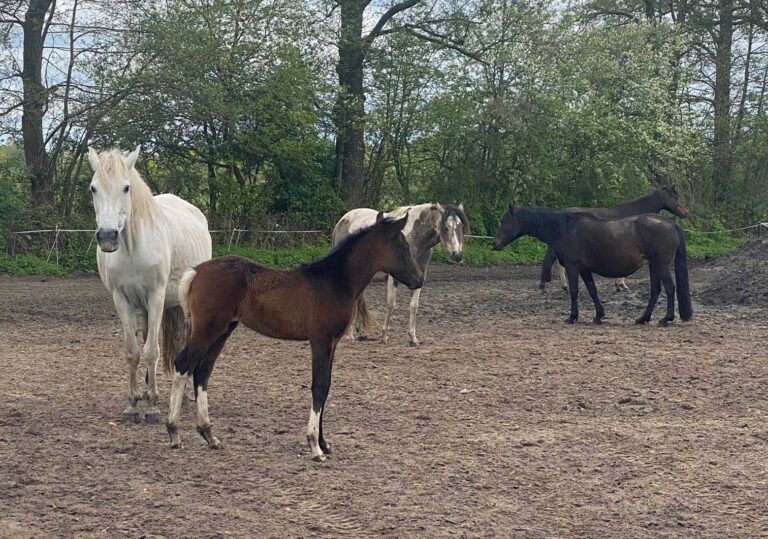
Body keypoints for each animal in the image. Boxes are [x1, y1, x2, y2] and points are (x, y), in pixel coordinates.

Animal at [88, 146, 212, 424]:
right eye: (93, 188)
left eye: (126, 188)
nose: (108, 236)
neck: (133, 248)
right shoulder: (122, 300)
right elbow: (134, 351)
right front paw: (133, 404)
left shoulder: (156, 297)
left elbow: (152, 351)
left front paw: (154, 408)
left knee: (181, 339)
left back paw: (184, 393)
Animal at [164, 213, 424, 462]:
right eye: (402, 245)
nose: (419, 279)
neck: (334, 281)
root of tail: (196, 272)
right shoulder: (320, 340)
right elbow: (319, 385)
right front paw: (314, 446)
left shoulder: (332, 343)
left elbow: (327, 386)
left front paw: (324, 443)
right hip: (208, 329)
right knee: (183, 364)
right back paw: (174, 433)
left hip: (224, 330)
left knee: (202, 371)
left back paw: (209, 435)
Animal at [332, 202, 472, 346]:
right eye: (446, 227)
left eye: (461, 227)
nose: (457, 255)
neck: (415, 239)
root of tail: (344, 218)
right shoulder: (394, 277)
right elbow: (391, 304)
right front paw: (384, 336)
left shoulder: (420, 277)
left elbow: (413, 306)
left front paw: (413, 338)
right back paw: (350, 336)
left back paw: (361, 333)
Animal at [496, 206, 692, 324]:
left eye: (504, 221)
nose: (494, 243)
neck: (564, 228)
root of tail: (671, 224)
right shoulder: (584, 270)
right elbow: (592, 291)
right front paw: (598, 315)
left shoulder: (572, 267)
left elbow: (574, 291)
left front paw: (572, 317)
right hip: (653, 266)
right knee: (655, 291)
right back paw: (643, 318)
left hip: (661, 265)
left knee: (669, 288)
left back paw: (666, 319)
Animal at [540, 188, 688, 294]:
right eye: (675, 196)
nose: (685, 213)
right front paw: (622, 285)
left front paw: (619, 285)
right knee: (550, 262)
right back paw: (546, 286)